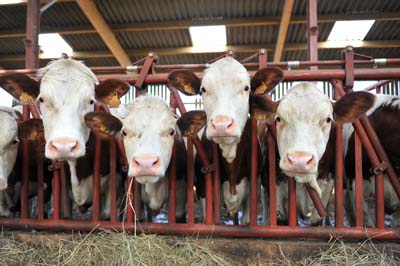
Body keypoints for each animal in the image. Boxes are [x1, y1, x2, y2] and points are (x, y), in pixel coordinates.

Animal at [167, 57, 282, 224]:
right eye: (203, 89)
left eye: (246, 88)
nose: (221, 125)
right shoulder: (203, 188)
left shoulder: (252, 190)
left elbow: (246, 220)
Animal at [250, 82, 376, 225]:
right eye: (278, 119)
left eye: (328, 119)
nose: (299, 161)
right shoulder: (274, 184)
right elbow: (281, 217)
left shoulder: (327, 182)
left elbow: (317, 219)